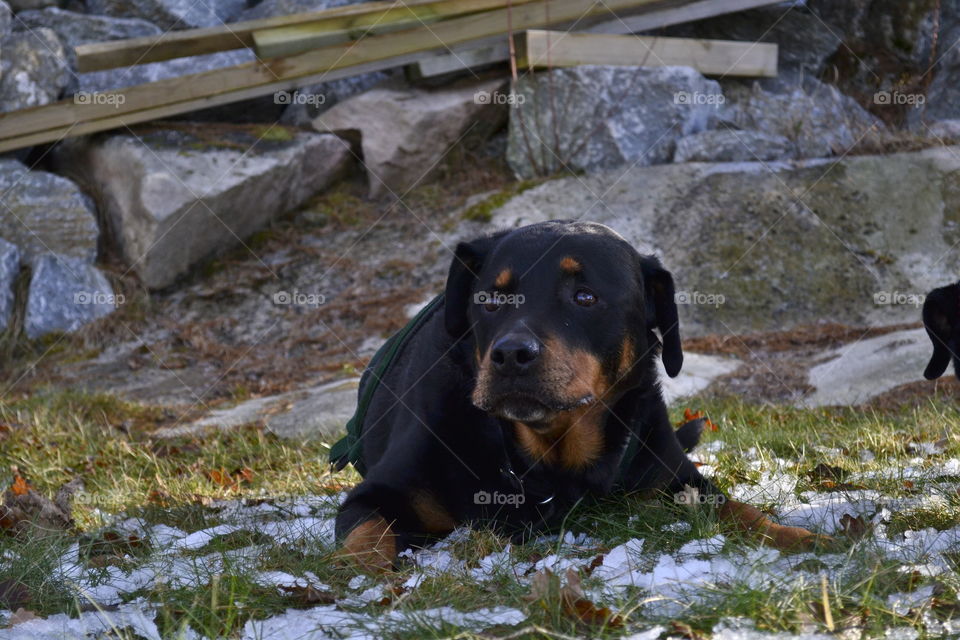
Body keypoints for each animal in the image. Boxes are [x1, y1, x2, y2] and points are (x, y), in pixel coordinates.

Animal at [334, 220, 820, 568]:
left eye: (584, 297)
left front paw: (798, 537)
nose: (511, 354)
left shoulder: (674, 474)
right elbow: (366, 538)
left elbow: (737, 509)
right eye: (490, 299)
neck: (545, 461)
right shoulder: (379, 492)